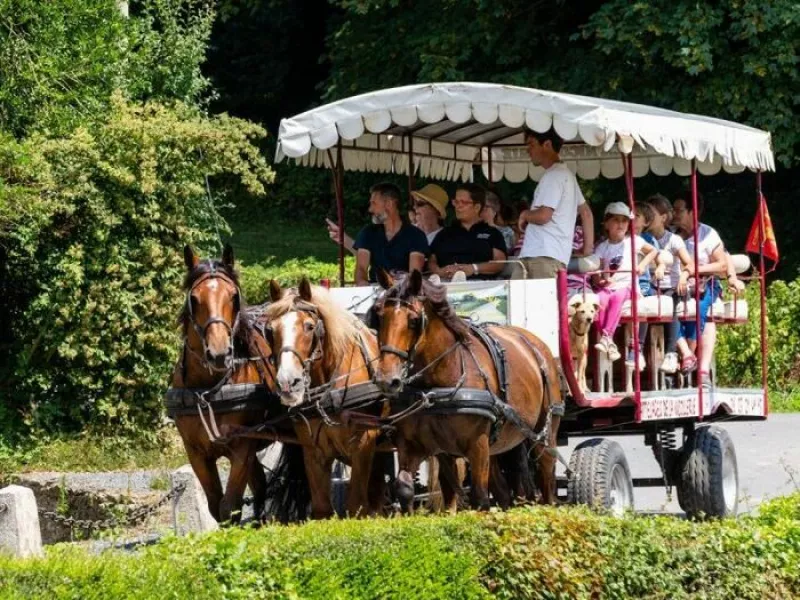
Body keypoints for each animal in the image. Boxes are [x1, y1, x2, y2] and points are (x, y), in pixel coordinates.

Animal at [262, 278, 390, 516]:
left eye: (309, 326)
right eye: (269, 330)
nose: (287, 383)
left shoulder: (363, 443)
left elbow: (356, 506)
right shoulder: (313, 451)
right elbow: (322, 509)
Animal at [370, 272, 564, 510]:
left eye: (414, 320)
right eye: (379, 316)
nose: (386, 379)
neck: (438, 384)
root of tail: (537, 346)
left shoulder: (477, 446)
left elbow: (479, 497)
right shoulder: (420, 447)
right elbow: (406, 488)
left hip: (543, 435)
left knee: (546, 479)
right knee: (502, 491)